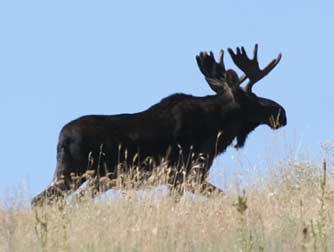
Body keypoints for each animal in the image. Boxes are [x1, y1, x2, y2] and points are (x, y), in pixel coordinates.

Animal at [32, 44, 288, 206]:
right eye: (252, 98)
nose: (281, 113)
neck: (217, 129)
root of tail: (61, 140)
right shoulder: (183, 174)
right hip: (78, 173)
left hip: (81, 176)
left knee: (43, 200)